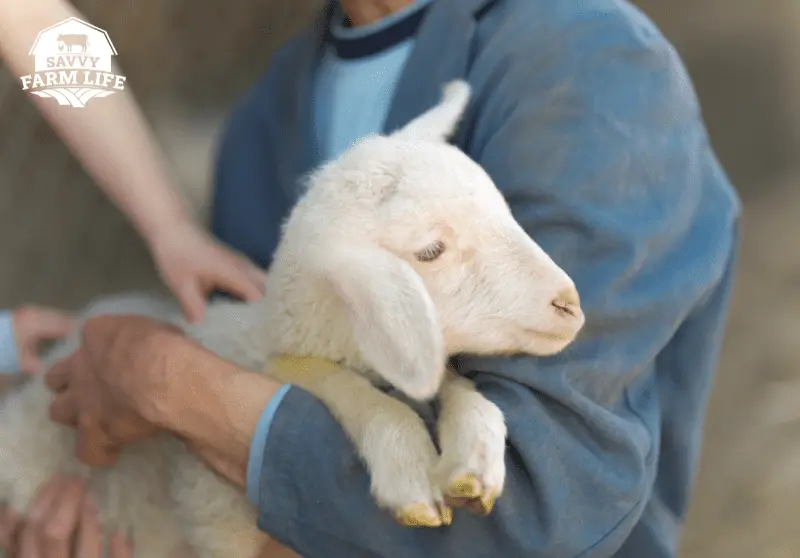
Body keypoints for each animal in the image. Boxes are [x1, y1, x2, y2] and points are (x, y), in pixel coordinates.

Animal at [0, 80, 585, 558]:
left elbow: (458, 387)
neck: (257, 335)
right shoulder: (213, 519)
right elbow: (331, 381)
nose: (569, 304)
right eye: (431, 251)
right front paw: (408, 470)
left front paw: (474, 455)